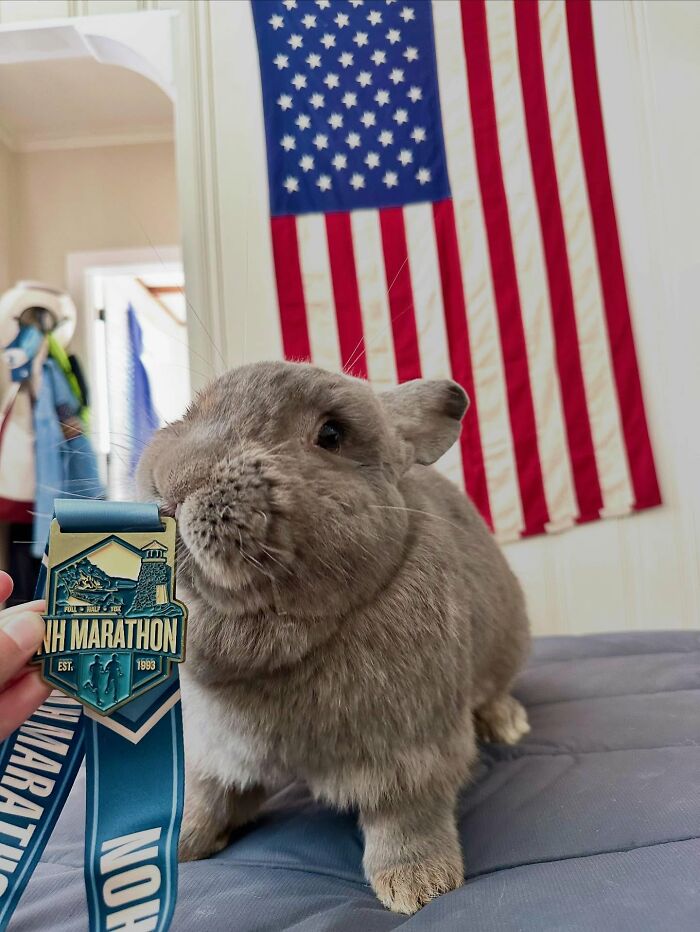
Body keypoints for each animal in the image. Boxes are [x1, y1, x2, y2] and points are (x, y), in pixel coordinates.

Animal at [136, 360, 531, 915]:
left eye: (331, 435)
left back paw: (508, 724)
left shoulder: (412, 754)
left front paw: (418, 887)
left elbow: (406, 817)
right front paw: (178, 846)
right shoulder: (214, 750)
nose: (176, 482)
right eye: (193, 410)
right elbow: (205, 798)